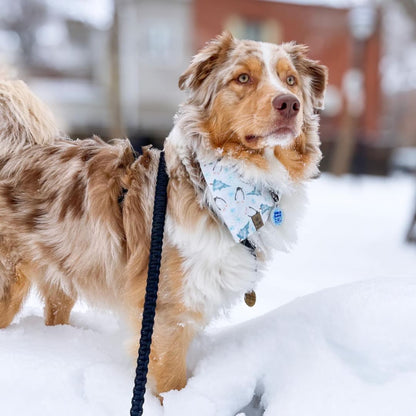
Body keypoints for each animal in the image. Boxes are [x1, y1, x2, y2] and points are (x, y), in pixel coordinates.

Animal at [0, 32, 326, 394]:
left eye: (291, 80)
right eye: (243, 78)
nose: (289, 104)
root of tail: (12, 153)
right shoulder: (167, 313)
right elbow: (171, 382)